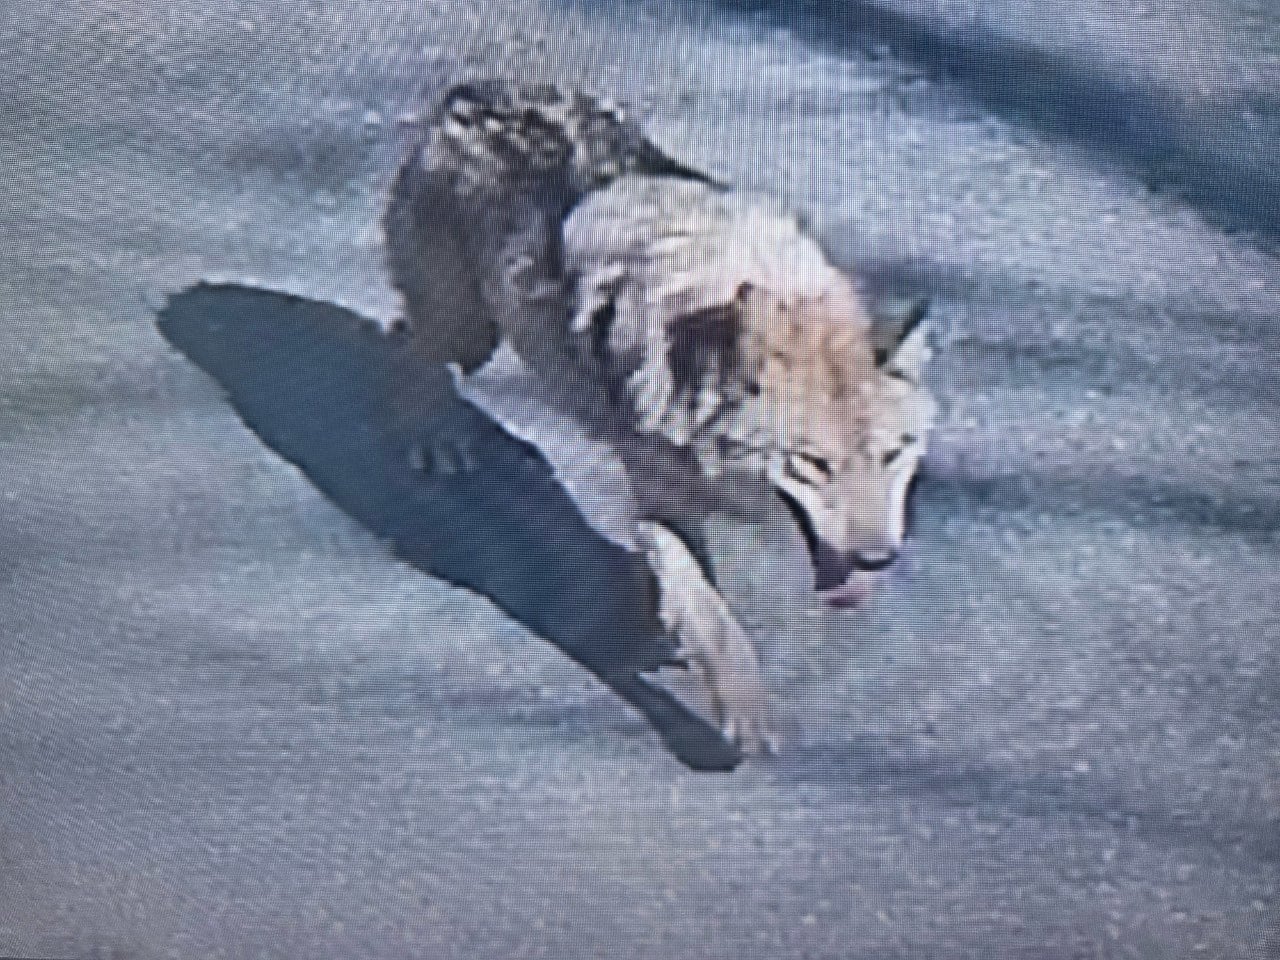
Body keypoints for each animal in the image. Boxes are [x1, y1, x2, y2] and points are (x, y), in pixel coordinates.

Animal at [383, 79, 937, 753]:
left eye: (893, 454)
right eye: (814, 463)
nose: (877, 560)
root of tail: (474, 92)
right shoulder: (657, 498)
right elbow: (712, 612)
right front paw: (742, 709)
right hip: (469, 332)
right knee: (405, 339)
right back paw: (433, 438)